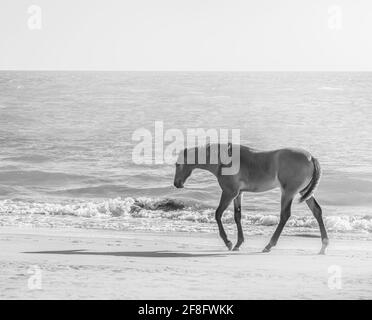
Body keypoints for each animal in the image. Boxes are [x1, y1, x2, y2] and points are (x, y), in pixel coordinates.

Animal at [174, 144, 328, 254]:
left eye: (177, 164)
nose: (176, 183)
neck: (222, 159)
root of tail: (311, 157)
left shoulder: (229, 193)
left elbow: (218, 214)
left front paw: (228, 242)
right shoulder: (238, 194)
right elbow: (237, 216)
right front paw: (238, 243)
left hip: (288, 192)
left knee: (285, 215)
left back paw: (269, 245)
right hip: (304, 192)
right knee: (317, 211)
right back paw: (324, 245)